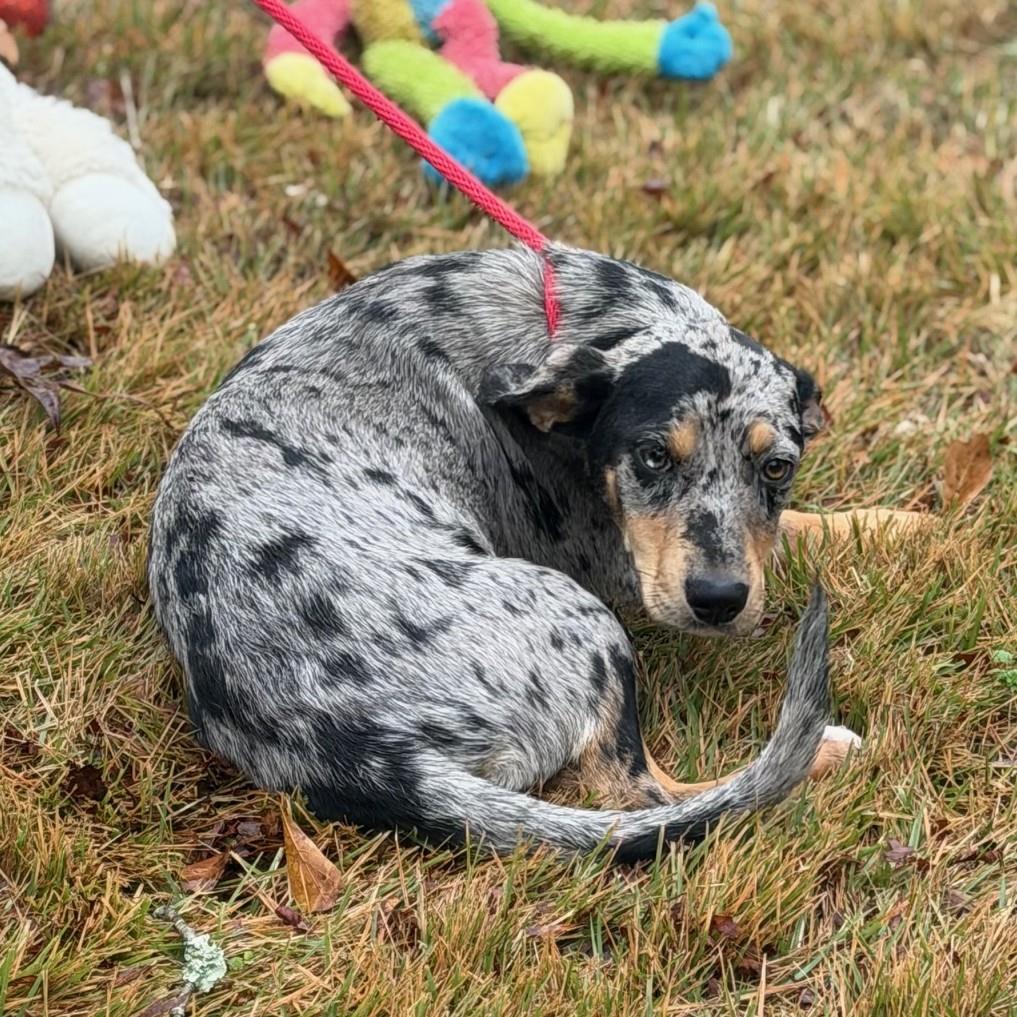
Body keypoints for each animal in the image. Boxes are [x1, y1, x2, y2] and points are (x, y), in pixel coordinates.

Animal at [149, 244, 880, 861]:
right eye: (651, 456)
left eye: (777, 467)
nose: (720, 601)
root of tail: (369, 755)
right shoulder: (616, 565)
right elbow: (802, 532)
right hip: (584, 618)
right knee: (653, 799)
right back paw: (826, 750)